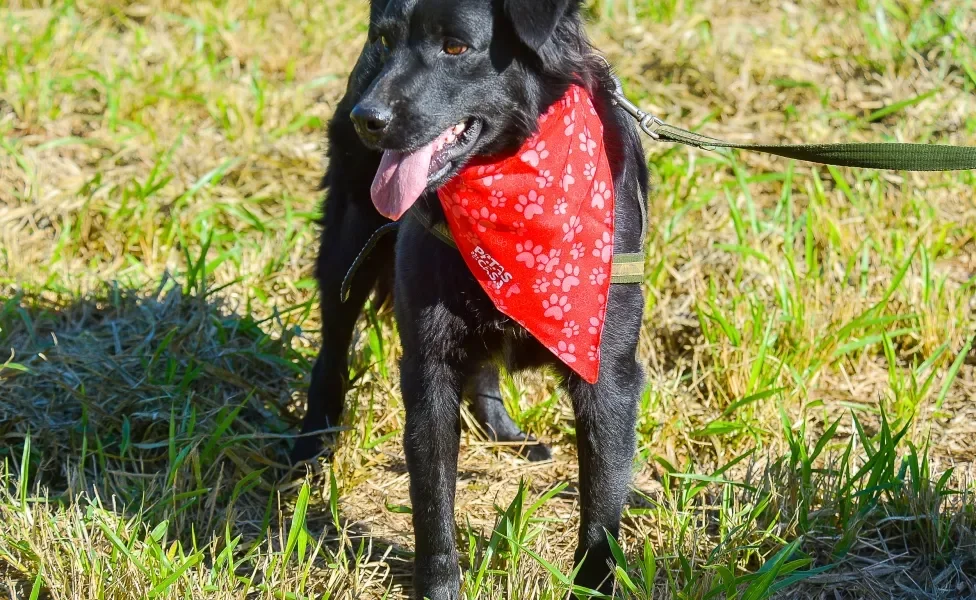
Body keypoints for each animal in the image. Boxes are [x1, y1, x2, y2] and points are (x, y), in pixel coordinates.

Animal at [298, 2, 648, 596]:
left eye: (456, 48)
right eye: (386, 40)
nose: (368, 120)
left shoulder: (610, 373)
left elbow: (603, 500)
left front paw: (595, 582)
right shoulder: (428, 365)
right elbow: (432, 501)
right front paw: (439, 585)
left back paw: (505, 433)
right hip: (348, 238)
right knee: (334, 342)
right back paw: (309, 443)